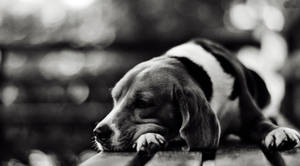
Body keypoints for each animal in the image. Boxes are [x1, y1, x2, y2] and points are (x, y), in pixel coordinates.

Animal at [93, 38, 300, 152]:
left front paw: (278, 132)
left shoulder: (251, 118)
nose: (98, 133)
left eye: (143, 103)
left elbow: (265, 124)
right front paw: (148, 137)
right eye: (115, 99)